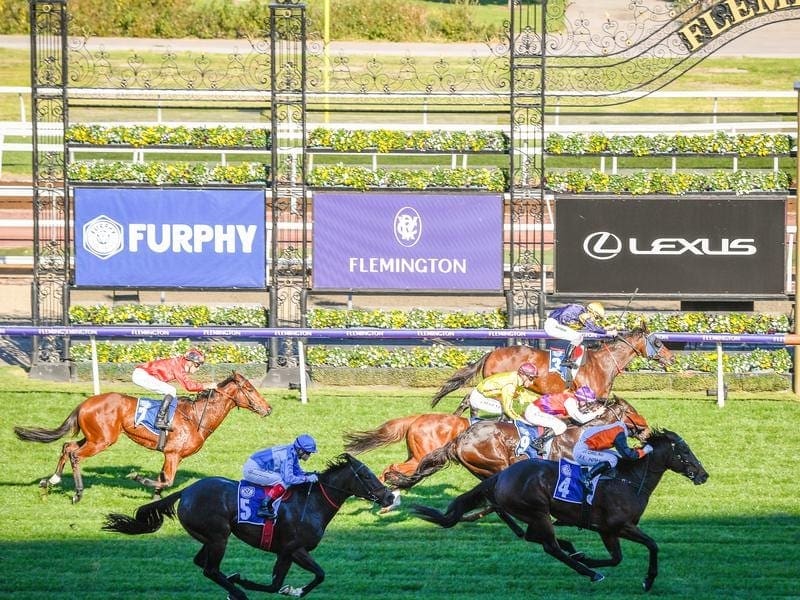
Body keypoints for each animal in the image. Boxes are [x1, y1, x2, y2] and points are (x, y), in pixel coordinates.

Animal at [13, 370, 272, 502]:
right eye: (249, 389)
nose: (268, 409)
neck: (197, 417)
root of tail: (85, 403)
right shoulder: (173, 453)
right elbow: (167, 480)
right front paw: (138, 478)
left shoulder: (170, 455)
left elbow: (163, 480)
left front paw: (156, 500)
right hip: (102, 440)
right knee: (75, 455)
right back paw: (77, 492)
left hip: (94, 437)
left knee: (67, 447)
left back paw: (51, 480)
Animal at [104, 454, 396, 600]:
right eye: (366, 475)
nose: (389, 497)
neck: (311, 502)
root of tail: (186, 491)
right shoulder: (294, 549)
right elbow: (313, 576)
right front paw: (286, 588)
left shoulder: (286, 552)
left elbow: (284, 582)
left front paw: (288, 589)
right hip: (219, 537)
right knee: (210, 569)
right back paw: (238, 592)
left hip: (209, 537)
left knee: (202, 563)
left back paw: (232, 586)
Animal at [412, 432, 708, 592]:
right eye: (683, 450)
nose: (703, 474)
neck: (629, 480)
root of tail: (501, 476)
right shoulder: (619, 525)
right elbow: (652, 545)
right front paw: (647, 580)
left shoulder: (607, 530)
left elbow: (616, 558)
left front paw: (587, 557)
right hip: (537, 511)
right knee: (549, 546)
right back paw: (587, 570)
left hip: (532, 514)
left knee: (533, 537)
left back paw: (575, 553)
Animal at [428, 328, 672, 412]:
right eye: (658, 342)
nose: (671, 357)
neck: (603, 364)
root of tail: (491, 353)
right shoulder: (586, 397)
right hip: (498, 386)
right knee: (470, 400)